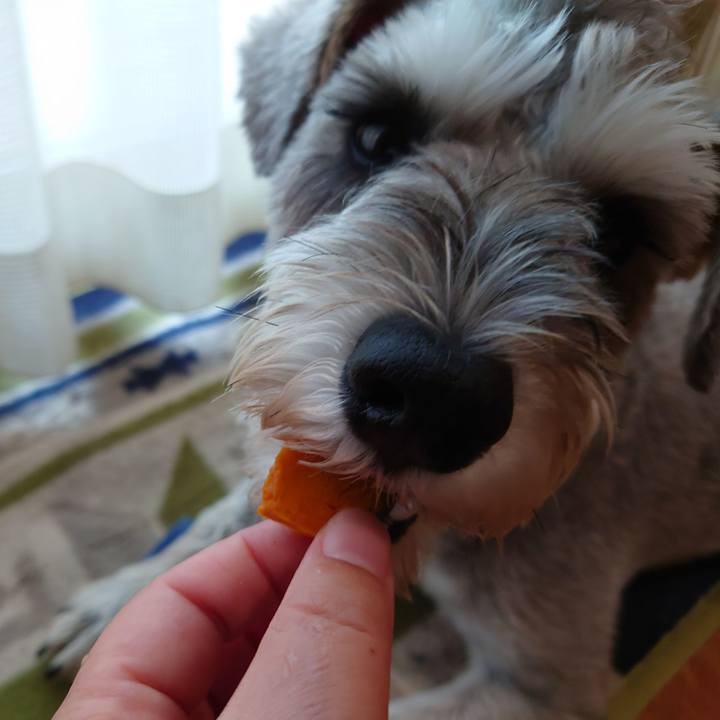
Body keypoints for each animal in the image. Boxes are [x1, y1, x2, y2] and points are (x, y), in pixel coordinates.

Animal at [40, 1, 720, 717]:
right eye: (375, 136)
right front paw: (122, 598)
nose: (429, 399)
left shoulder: (539, 687)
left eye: (618, 232)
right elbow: (235, 512)